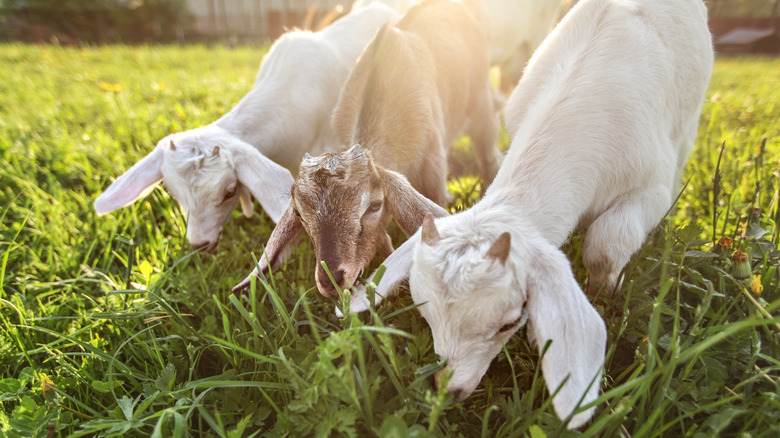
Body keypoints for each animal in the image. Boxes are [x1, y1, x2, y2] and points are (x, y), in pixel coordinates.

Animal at [342, 0, 712, 428]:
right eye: (425, 312)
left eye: (508, 321)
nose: (450, 391)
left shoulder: (654, 185)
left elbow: (606, 245)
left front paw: (608, 290)